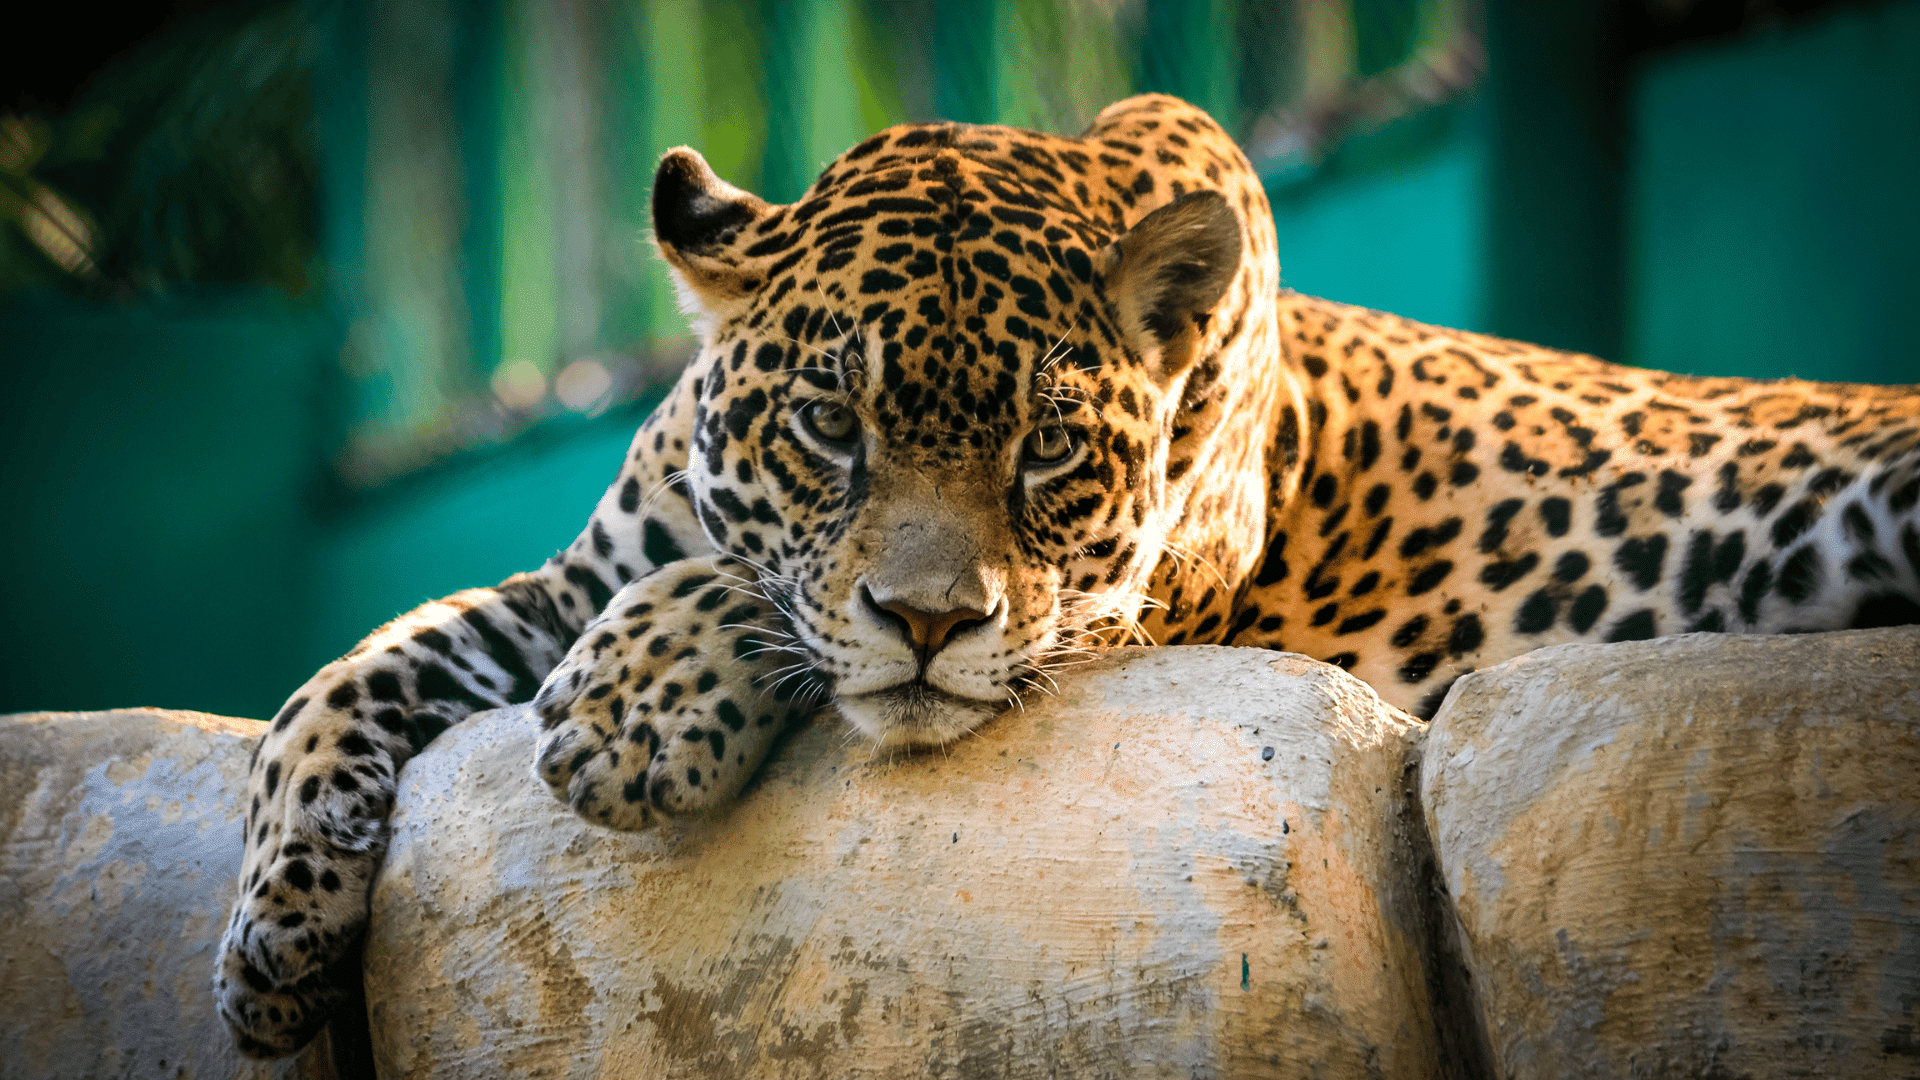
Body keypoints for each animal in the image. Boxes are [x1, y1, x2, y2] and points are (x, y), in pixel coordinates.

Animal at [215, 93, 1920, 1056]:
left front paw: (635, 712)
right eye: (828, 423)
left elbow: (775, 609)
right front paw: (273, 939)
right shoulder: (570, 580)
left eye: (1046, 448)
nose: (929, 621)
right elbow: (348, 672)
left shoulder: (1123, 607)